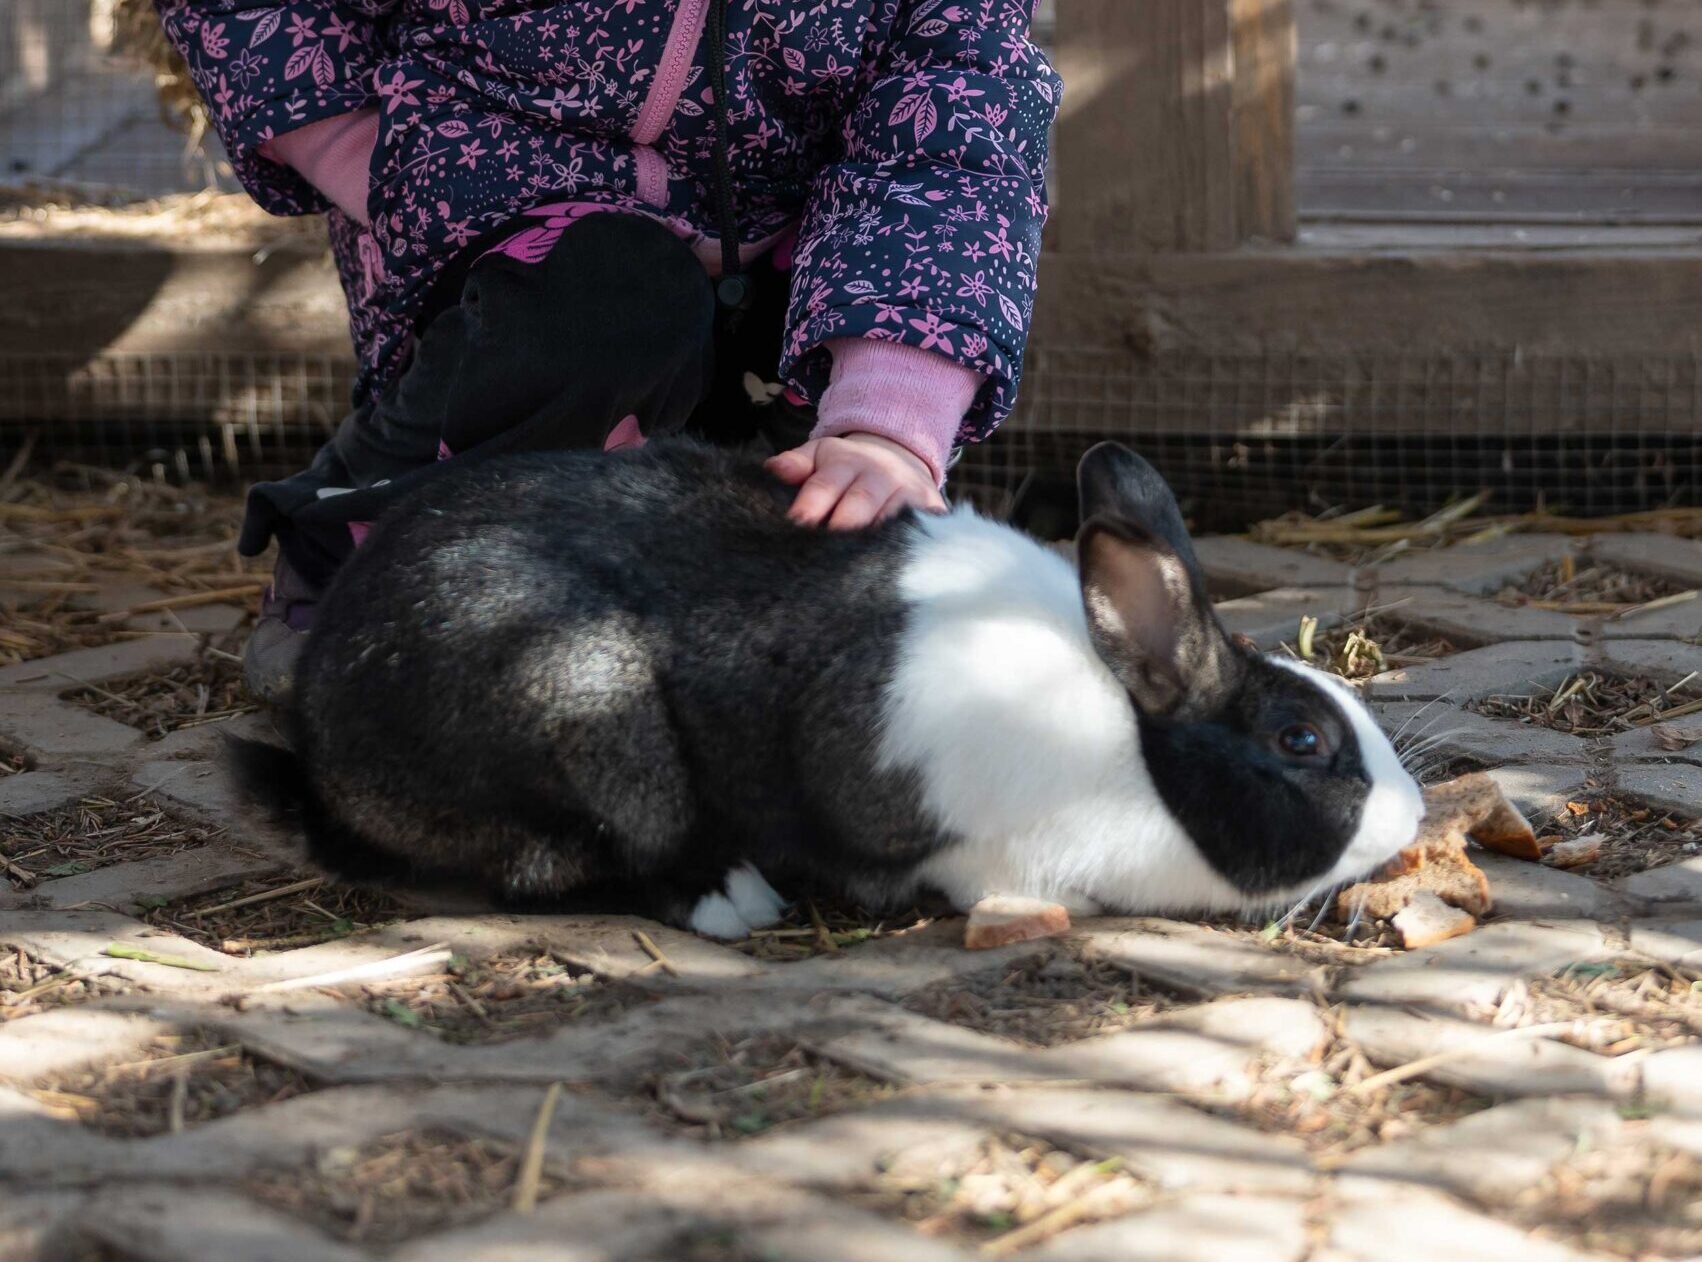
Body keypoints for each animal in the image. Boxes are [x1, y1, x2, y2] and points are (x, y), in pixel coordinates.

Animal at [231, 439, 1425, 938]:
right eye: (1302, 741)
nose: (1411, 820)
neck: (1131, 743)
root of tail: (324, 760)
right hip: (584, 706)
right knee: (555, 869)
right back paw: (730, 897)